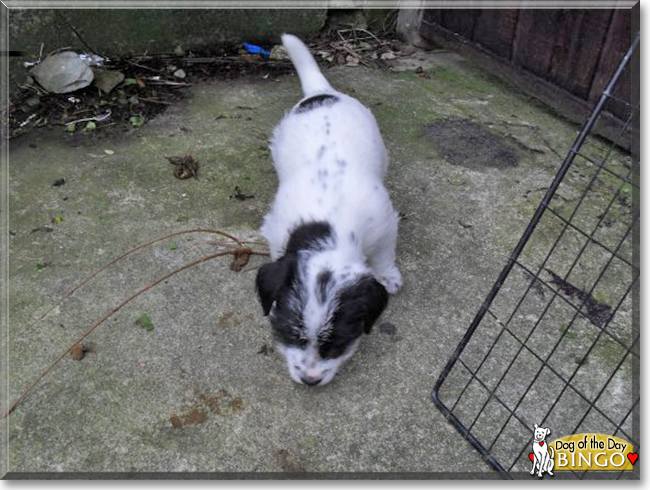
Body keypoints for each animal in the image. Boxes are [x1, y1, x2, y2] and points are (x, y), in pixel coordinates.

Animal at [254, 33, 400, 386]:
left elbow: (384, 254)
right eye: (292, 333)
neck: (328, 226)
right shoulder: (276, 232)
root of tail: (321, 93)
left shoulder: (384, 224)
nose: (310, 380)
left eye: (337, 342)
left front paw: (388, 275)